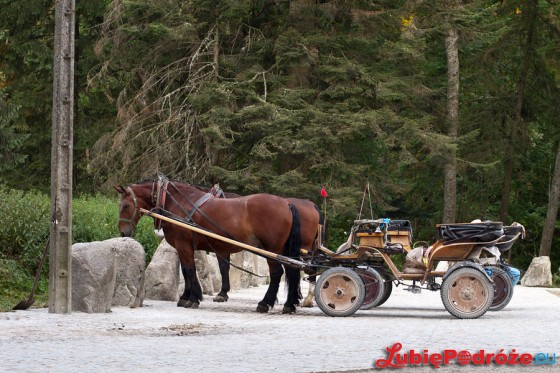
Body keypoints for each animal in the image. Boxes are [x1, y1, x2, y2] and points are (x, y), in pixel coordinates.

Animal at [116, 179, 304, 312]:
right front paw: (185, 297)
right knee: (292, 271)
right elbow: (186, 271)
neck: (178, 203)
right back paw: (289, 304)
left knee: (277, 273)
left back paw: (265, 303)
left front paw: (193, 298)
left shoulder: (184, 245)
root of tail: (286, 203)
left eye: (125, 205)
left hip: (271, 250)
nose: (123, 232)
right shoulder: (183, 247)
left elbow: (190, 270)